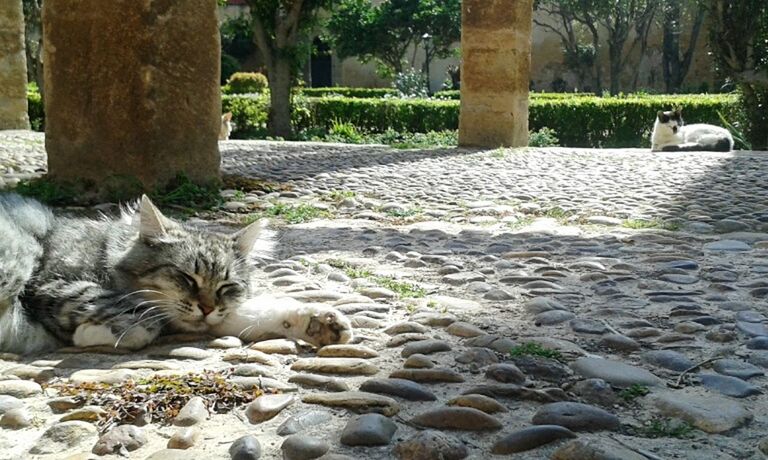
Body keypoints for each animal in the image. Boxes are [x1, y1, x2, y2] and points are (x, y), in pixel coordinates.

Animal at [0, 192, 352, 354]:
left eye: (226, 287)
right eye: (186, 278)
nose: (206, 308)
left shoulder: (214, 318)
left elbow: (262, 313)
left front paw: (320, 323)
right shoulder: (51, 282)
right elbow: (135, 319)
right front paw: (95, 333)